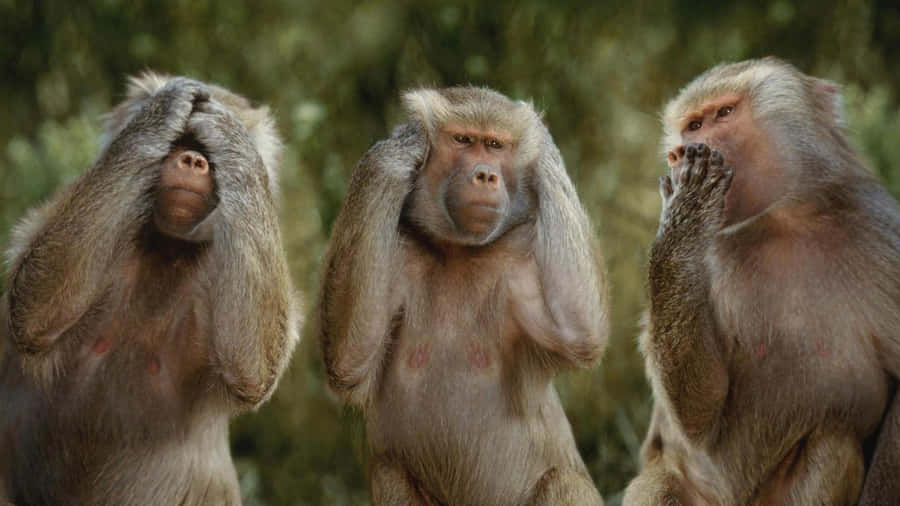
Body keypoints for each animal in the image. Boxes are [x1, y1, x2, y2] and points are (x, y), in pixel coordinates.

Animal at [0, 73, 300, 505]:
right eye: (179, 141)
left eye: (206, 150)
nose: (193, 160)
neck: (166, 248)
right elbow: (32, 310)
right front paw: (163, 108)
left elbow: (252, 369)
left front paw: (229, 132)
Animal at [319, 86, 609, 506]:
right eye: (463, 140)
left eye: (495, 145)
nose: (485, 175)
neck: (458, 251)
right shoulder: (398, 252)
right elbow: (348, 361)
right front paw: (399, 148)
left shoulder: (518, 257)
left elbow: (579, 332)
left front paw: (543, 145)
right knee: (390, 473)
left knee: (564, 483)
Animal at [622, 57, 900, 505]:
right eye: (691, 125)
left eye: (723, 114)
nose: (678, 152)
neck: (782, 221)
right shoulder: (710, 255)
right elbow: (700, 415)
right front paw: (685, 212)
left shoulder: (879, 232)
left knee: (833, 445)